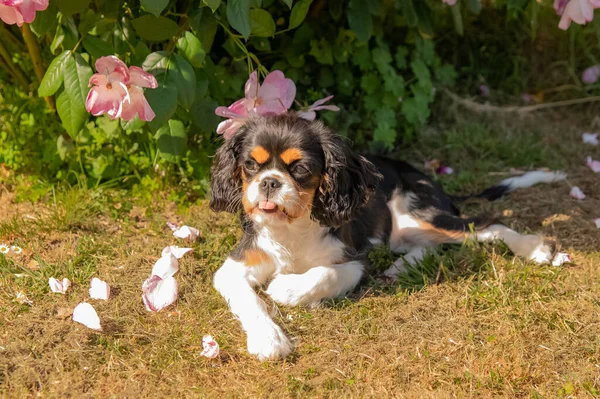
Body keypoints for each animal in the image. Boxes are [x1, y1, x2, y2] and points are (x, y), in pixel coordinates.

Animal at [209, 114, 564, 360]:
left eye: (300, 169)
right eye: (250, 164)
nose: (269, 182)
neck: (291, 227)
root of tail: (435, 184)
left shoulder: (353, 260)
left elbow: (321, 275)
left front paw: (285, 289)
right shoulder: (234, 266)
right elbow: (250, 300)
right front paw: (269, 340)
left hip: (420, 214)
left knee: (488, 225)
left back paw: (533, 247)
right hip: (403, 232)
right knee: (432, 247)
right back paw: (399, 268)